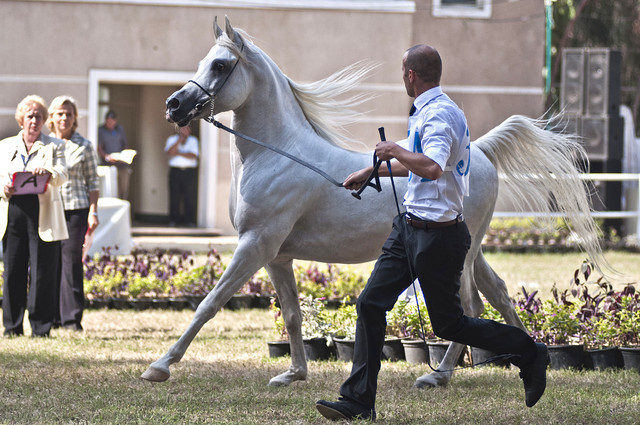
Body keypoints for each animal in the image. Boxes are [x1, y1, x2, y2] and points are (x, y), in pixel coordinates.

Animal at [141, 17, 605, 389]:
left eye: (220, 65)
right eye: (203, 62)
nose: (173, 105)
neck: (277, 155)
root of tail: (481, 152)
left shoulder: (254, 245)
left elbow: (209, 304)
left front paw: (159, 366)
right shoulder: (276, 256)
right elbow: (292, 315)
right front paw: (294, 374)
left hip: (458, 256)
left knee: (469, 306)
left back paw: (439, 375)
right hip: (470, 251)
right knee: (500, 294)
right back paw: (526, 362)